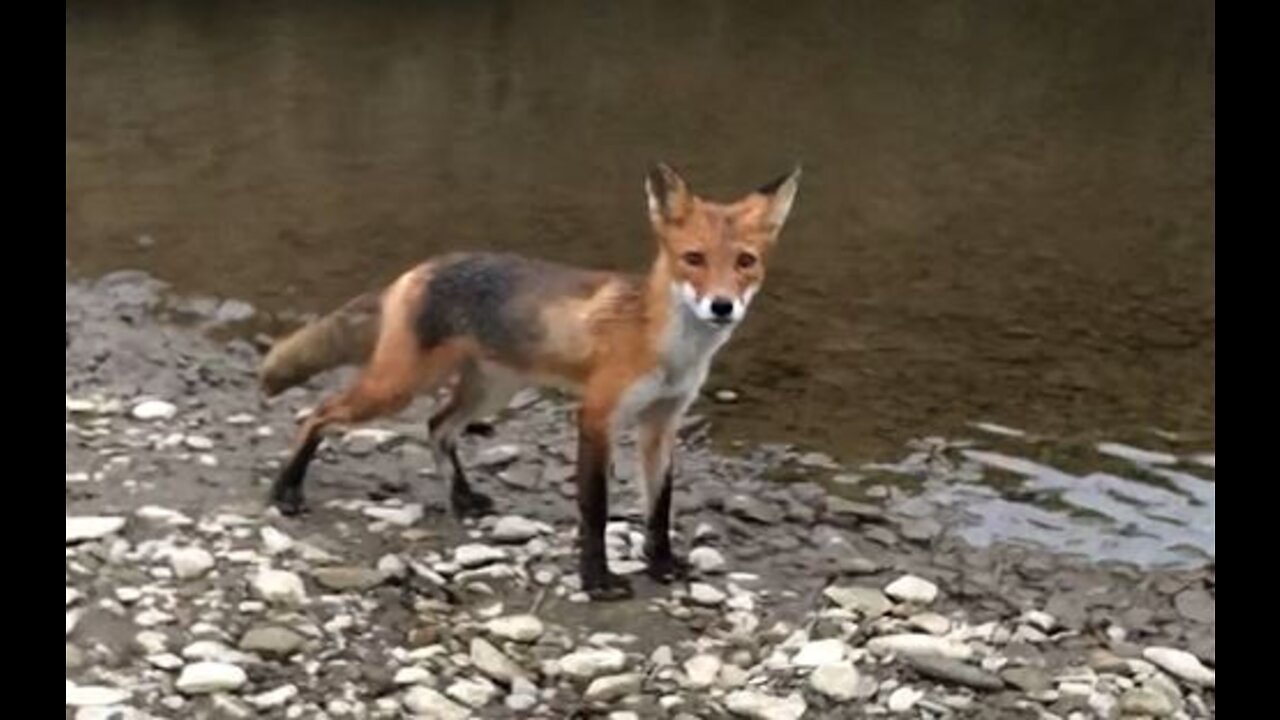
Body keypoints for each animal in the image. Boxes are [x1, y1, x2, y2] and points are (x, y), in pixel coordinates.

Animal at [258, 163, 798, 599]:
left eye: (745, 262)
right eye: (694, 259)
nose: (722, 306)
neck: (665, 347)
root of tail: (416, 271)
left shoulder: (661, 424)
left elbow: (659, 507)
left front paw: (661, 565)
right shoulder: (597, 416)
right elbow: (595, 510)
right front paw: (597, 581)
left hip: (489, 392)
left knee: (437, 426)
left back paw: (462, 499)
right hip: (397, 387)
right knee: (320, 414)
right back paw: (287, 489)